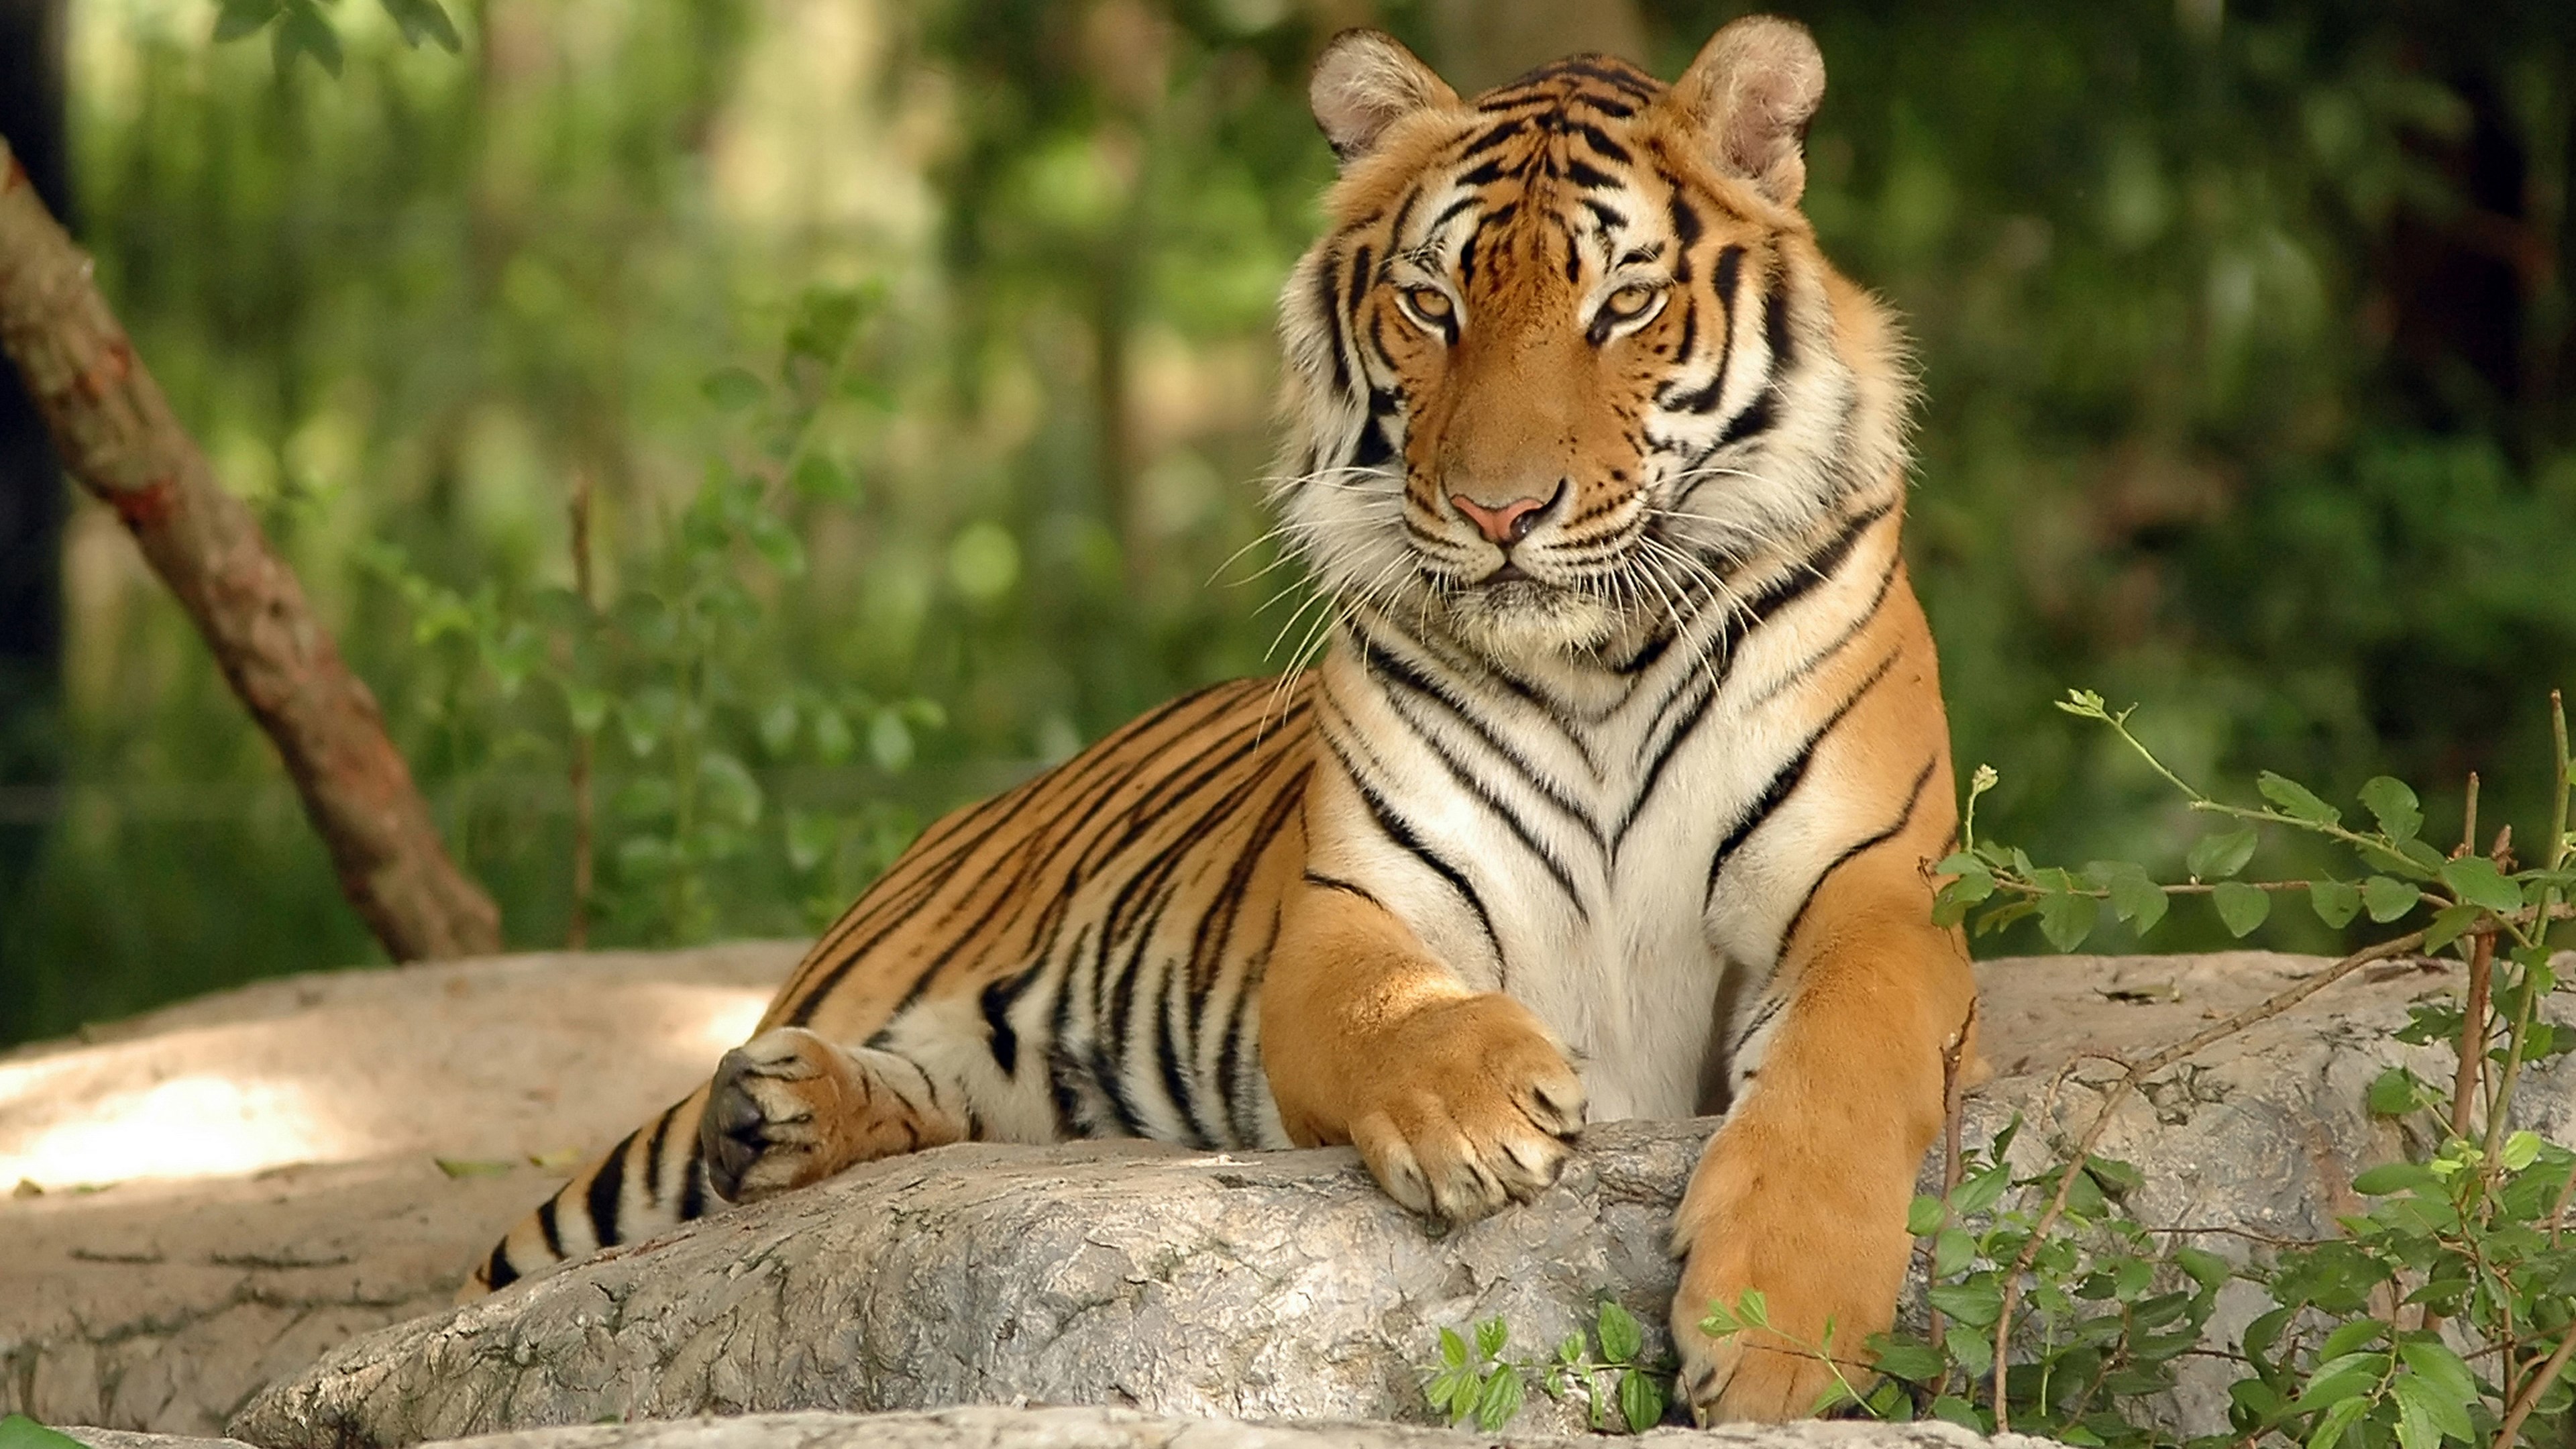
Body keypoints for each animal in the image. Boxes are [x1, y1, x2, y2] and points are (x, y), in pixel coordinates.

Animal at [463, 15, 1979, 1424]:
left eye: (1623, 303)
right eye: (1431, 305)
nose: (1499, 512)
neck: (1593, 667)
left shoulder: (1877, 893)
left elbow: (1842, 1069)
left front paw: (1781, 1339)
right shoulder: (1355, 908)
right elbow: (1385, 1009)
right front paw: (1479, 1111)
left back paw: (776, 1119)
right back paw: (761, 1110)